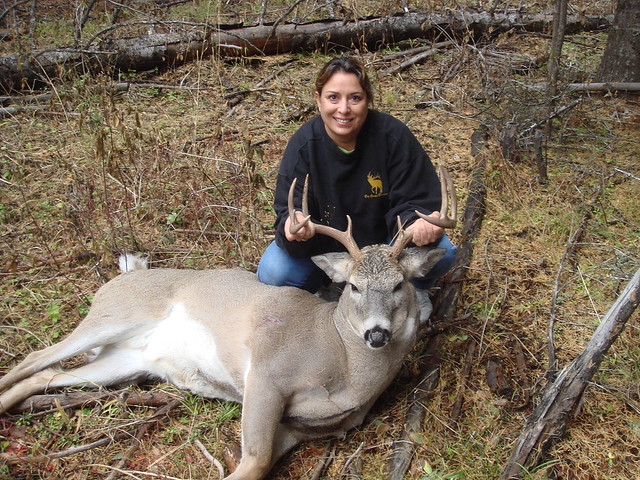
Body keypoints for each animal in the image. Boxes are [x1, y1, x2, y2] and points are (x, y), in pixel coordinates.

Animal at [2, 169, 458, 480]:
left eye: (399, 284)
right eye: (353, 286)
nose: (376, 333)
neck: (342, 368)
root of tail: (123, 275)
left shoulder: (303, 429)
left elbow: (259, 463)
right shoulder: (267, 374)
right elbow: (252, 461)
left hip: (128, 362)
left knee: (44, 375)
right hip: (114, 315)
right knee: (35, 356)